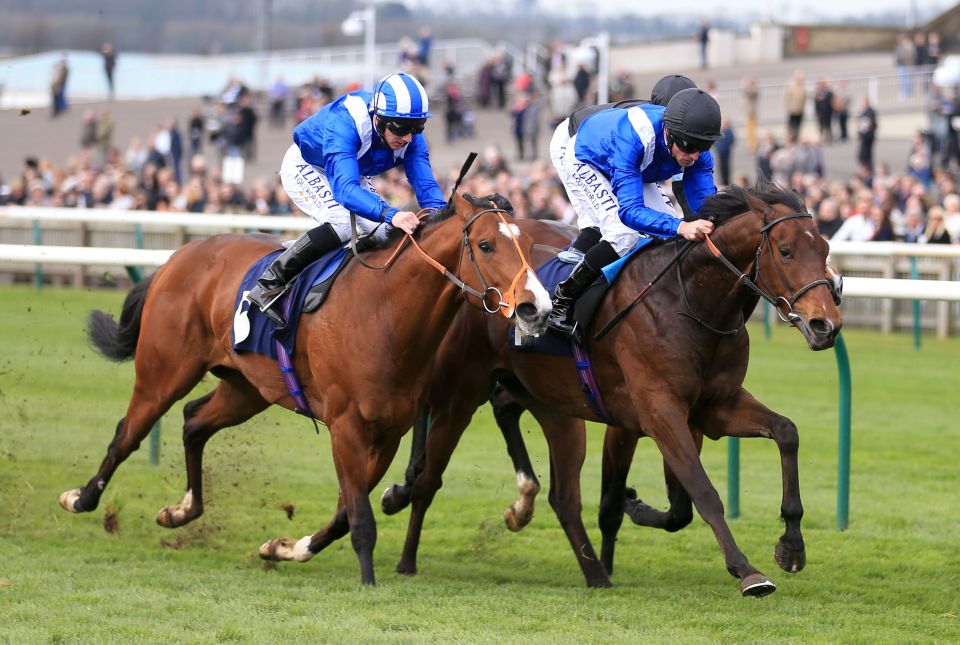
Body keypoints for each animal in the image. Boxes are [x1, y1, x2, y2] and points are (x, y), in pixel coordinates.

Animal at [60, 191, 552, 584]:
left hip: (246, 389)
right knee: (128, 433)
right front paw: (368, 582)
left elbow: (344, 514)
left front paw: (284, 548)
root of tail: (180, 255)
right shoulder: (346, 426)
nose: (536, 307)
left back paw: (181, 511)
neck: (385, 313)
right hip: (164, 372)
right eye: (486, 245)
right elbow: (360, 517)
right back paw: (81, 498)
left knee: (194, 422)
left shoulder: (388, 431)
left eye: (528, 245)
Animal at [378, 181, 844, 592]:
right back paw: (404, 511)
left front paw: (791, 546)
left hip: (534, 389)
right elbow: (702, 492)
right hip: (459, 386)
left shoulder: (714, 407)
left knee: (515, 426)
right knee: (433, 454)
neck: (688, 301)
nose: (826, 325)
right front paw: (747, 571)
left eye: (824, 250)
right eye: (785, 251)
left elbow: (783, 434)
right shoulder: (657, 413)